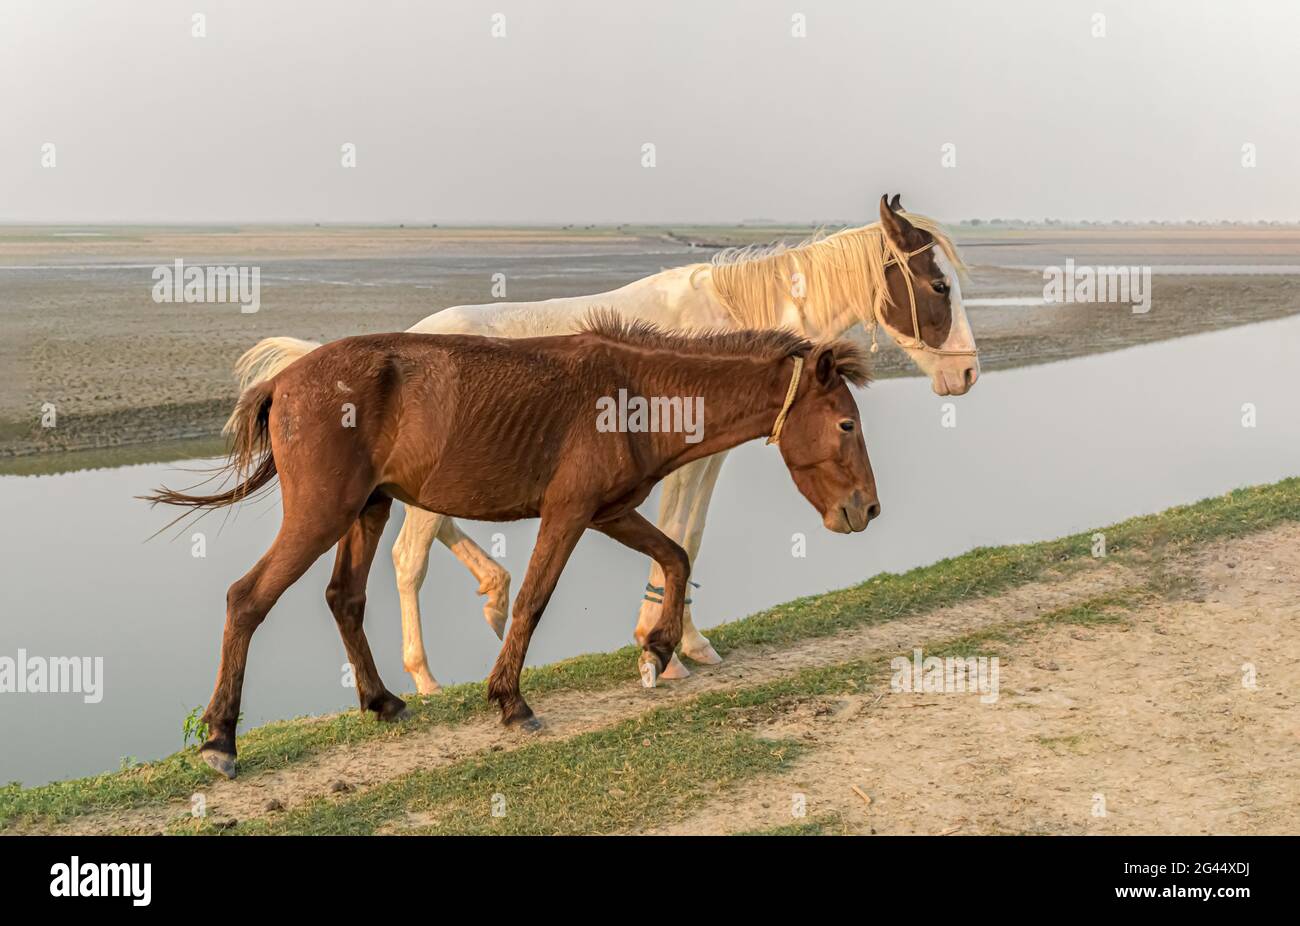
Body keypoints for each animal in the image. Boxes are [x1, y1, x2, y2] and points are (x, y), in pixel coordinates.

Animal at [146, 314, 880, 779]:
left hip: (368, 510)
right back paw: (221, 739)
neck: (635, 393)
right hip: (322, 514)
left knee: (344, 598)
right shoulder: (569, 514)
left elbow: (674, 557)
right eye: (846, 423)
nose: (867, 509)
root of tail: (285, 381)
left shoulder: (610, 512)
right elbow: (531, 600)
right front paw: (510, 701)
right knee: (247, 598)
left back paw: (382, 701)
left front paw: (658, 650)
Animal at [224, 194, 975, 691]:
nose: (967, 372)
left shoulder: (702, 460)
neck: (720, 323)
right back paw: (426, 679)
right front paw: (664, 646)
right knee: (410, 559)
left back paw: (491, 593)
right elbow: (681, 535)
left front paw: (677, 643)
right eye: (939, 285)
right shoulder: (685, 464)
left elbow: (683, 537)